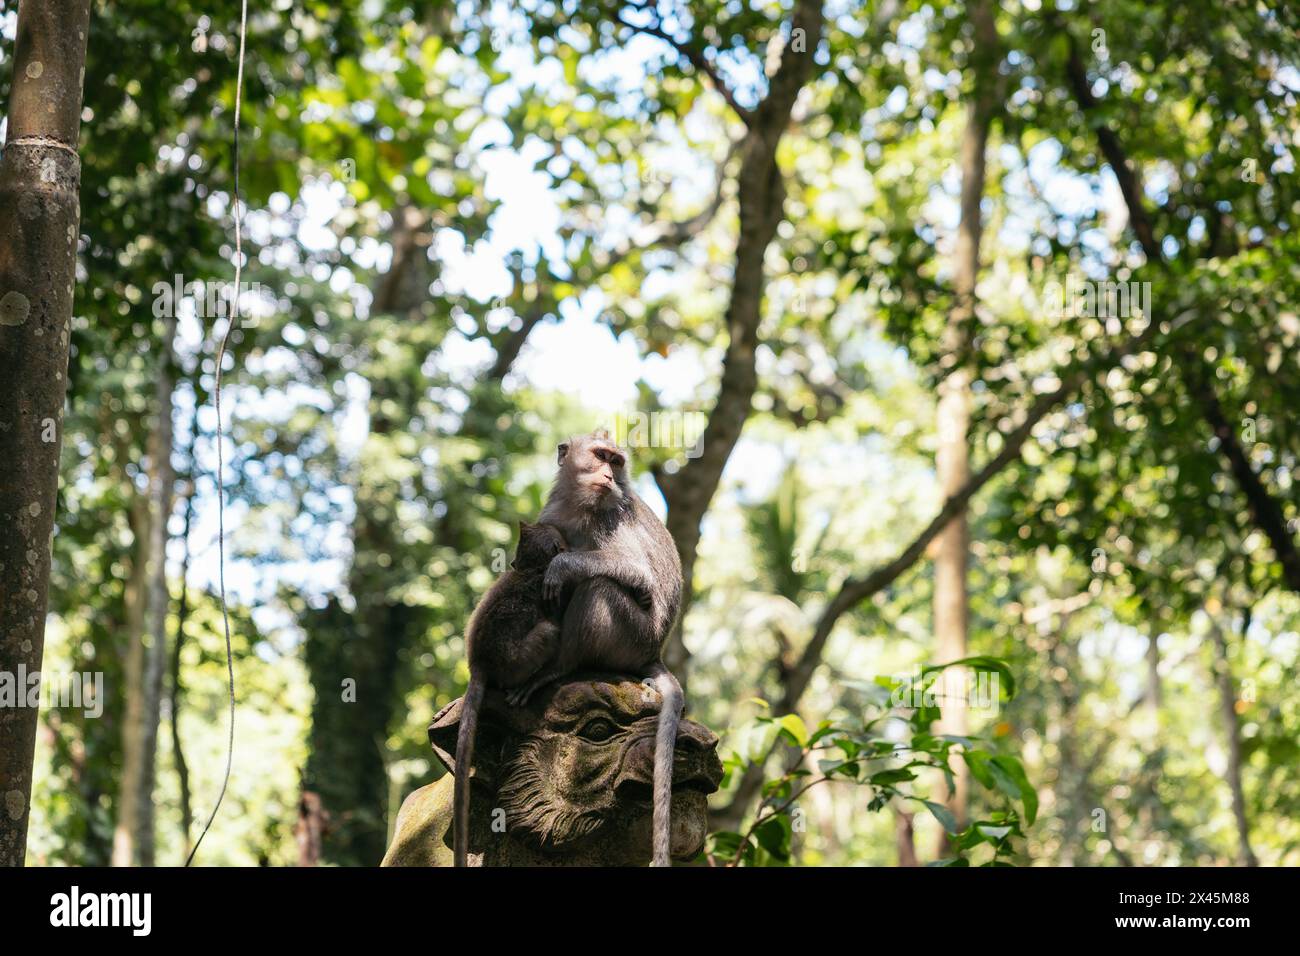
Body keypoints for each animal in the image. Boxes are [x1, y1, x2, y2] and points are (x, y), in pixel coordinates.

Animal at [453, 520, 568, 868]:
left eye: (516, 553)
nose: (513, 564)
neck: (533, 567)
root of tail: (478, 662)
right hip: (519, 659)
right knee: (549, 631)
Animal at [509, 431, 685, 867]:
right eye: (601, 456)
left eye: (616, 461)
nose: (608, 474)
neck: (580, 504)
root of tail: (654, 651)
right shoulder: (552, 512)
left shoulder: (611, 518)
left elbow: (637, 574)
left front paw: (560, 567)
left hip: (632, 636)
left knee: (599, 586)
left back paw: (556, 669)